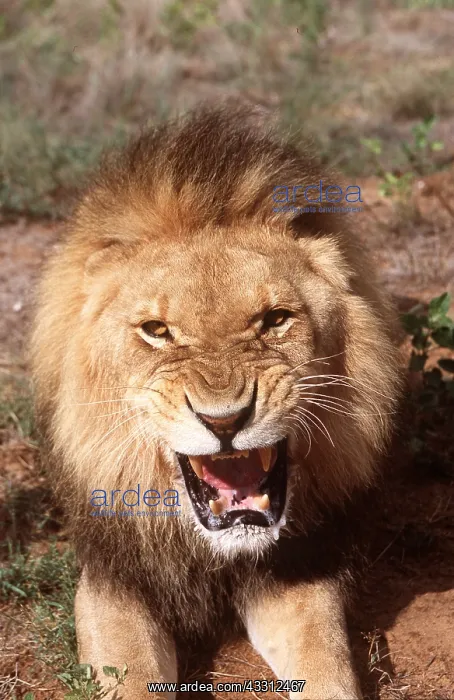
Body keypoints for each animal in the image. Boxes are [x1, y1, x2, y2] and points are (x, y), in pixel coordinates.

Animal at [31, 103, 401, 699]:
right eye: (157, 331)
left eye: (275, 319)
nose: (224, 421)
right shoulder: (112, 582)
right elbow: (131, 674)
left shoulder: (297, 572)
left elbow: (328, 667)